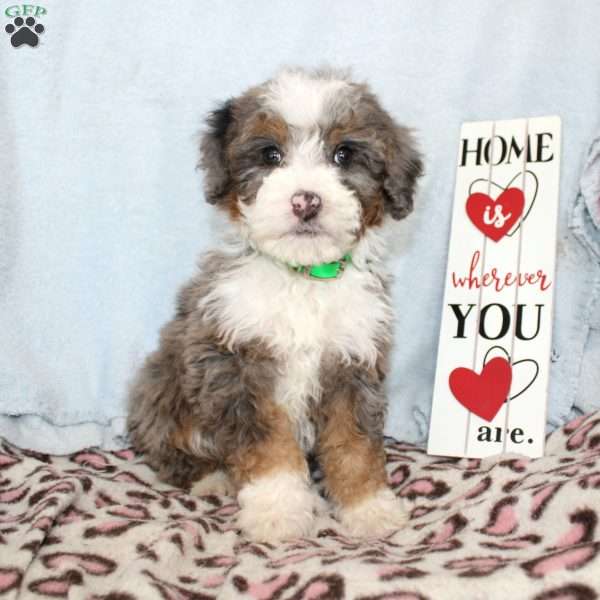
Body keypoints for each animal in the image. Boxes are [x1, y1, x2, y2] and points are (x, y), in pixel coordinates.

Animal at [129, 67, 424, 544]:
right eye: (270, 154)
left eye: (344, 154)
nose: (306, 200)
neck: (303, 277)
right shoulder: (237, 367)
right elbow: (267, 448)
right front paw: (279, 511)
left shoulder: (352, 365)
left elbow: (355, 445)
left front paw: (368, 508)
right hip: (160, 389)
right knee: (171, 450)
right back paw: (211, 478)